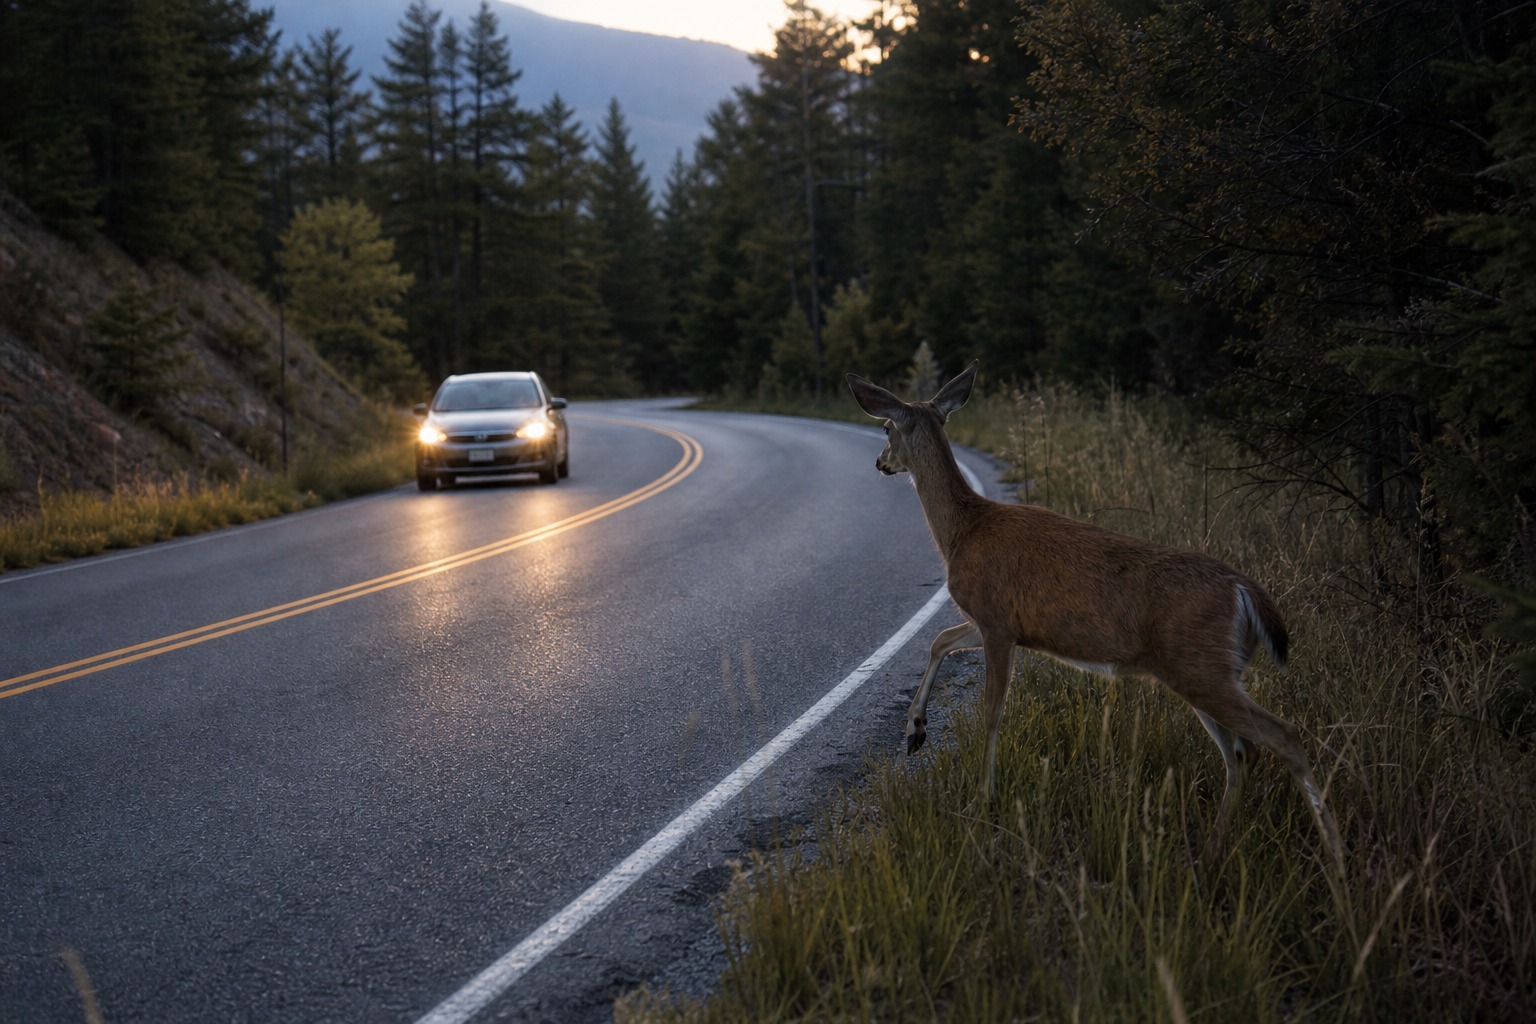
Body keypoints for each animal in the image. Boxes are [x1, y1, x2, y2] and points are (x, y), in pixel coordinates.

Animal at [847, 360, 1344, 872]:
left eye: (885, 427)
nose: (881, 462)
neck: (962, 531)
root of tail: (1243, 589)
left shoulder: (997, 621)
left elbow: (991, 709)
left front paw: (983, 798)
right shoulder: (998, 622)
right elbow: (940, 639)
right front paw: (915, 731)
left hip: (1200, 668)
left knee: (1284, 736)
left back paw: (1338, 862)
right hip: (1207, 671)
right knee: (1242, 754)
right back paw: (1211, 854)